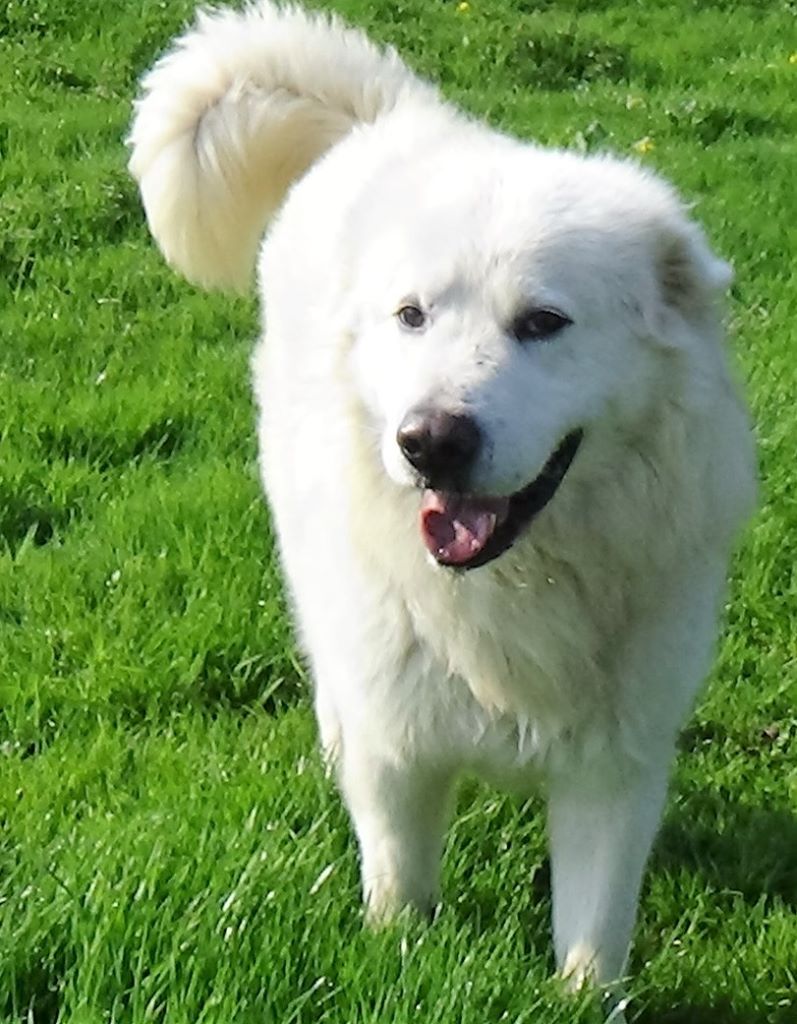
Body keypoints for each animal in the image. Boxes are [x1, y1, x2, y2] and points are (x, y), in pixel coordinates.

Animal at [129, 0, 756, 996]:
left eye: (543, 323)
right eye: (412, 317)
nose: (427, 443)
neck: (512, 588)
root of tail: (395, 118)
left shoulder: (615, 770)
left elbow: (591, 941)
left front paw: (579, 1002)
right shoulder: (400, 754)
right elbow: (398, 894)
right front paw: (397, 962)